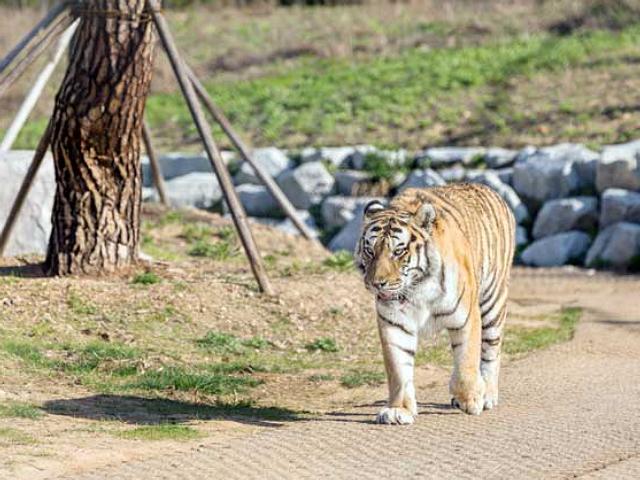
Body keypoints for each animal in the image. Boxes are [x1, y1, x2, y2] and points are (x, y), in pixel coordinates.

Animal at [356, 184, 516, 424]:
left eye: (398, 251)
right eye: (370, 250)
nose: (377, 283)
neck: (417, 288)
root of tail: (488, 189)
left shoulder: (466, 317)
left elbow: (466, 360)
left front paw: (470, 399)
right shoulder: (394, 323)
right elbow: (398, 368)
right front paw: (398, 410)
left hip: (492, 302)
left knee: (491, 351)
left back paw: (487, 394)